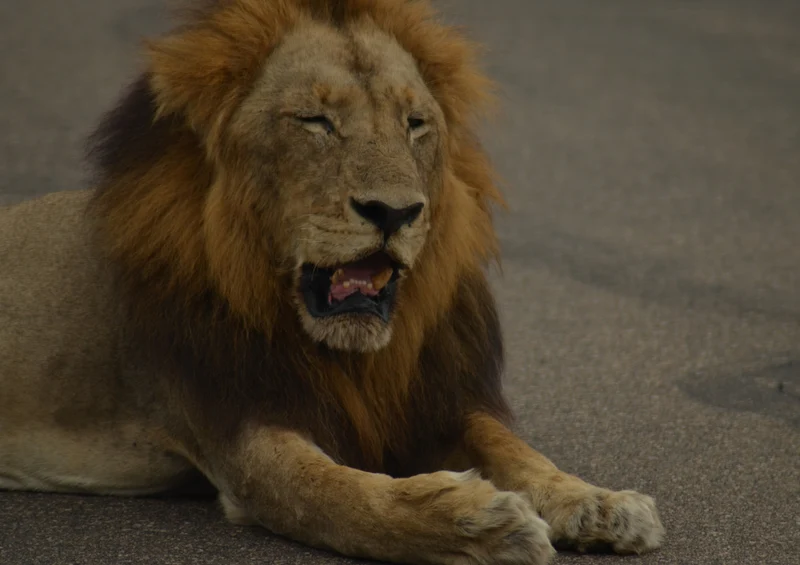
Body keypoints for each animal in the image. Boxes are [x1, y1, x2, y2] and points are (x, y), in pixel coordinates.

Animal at [0, 1, 665, 563]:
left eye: (415, 123)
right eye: (315, 121)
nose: (394, 212)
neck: (352, 357)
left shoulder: (432, 399)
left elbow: (513, 447)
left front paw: (598, 503)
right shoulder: (242, 428)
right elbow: (341, 496)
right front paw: (478, 523)